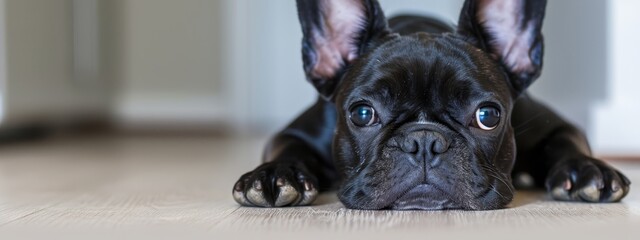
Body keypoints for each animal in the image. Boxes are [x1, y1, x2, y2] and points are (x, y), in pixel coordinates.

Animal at [231, 0, 632, 210]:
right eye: (362, 113)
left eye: (488, 116)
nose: (424, 141)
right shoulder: (296, 132)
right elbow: (286, 148)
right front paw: (274, 175)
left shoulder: (555, 125)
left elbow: (567, 140)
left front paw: (590, 171)